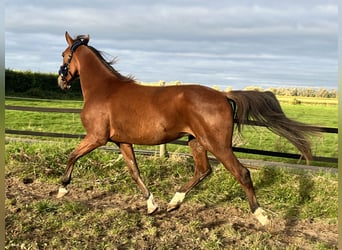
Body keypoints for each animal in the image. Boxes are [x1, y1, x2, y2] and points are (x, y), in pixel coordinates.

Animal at [56, 32, 318, 226]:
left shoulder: (97, 137)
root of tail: (224, 96)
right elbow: (134, 171)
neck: (104, 90)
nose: (61, 81)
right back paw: (174, 202)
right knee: (203, 170)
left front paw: (62, 189)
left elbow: (72, 156)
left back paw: (261, 216)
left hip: (217, 145)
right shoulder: (122, 141)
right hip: (196, 141)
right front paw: (152, 205)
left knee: (241, 173)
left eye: (64, 55)